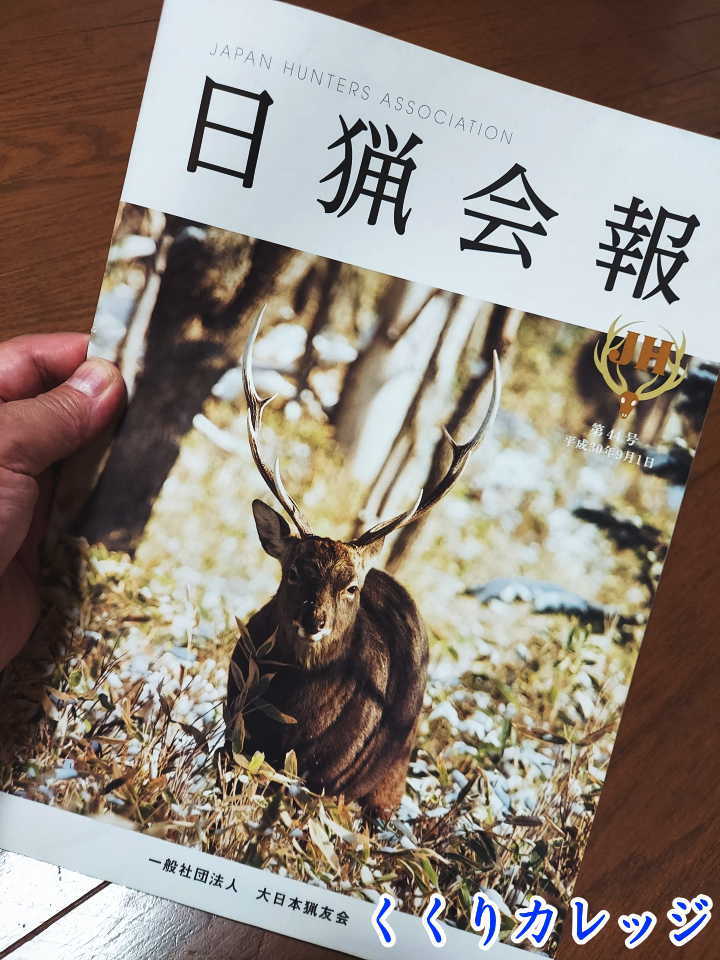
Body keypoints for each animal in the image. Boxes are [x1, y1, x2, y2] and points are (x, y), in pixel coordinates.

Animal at [226, 308, 502, 818]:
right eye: (293, 571)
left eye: (350, 586)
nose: (314, 621)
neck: (290, 723)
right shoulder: (232, 732)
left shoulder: (324, 779)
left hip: (388, 778)